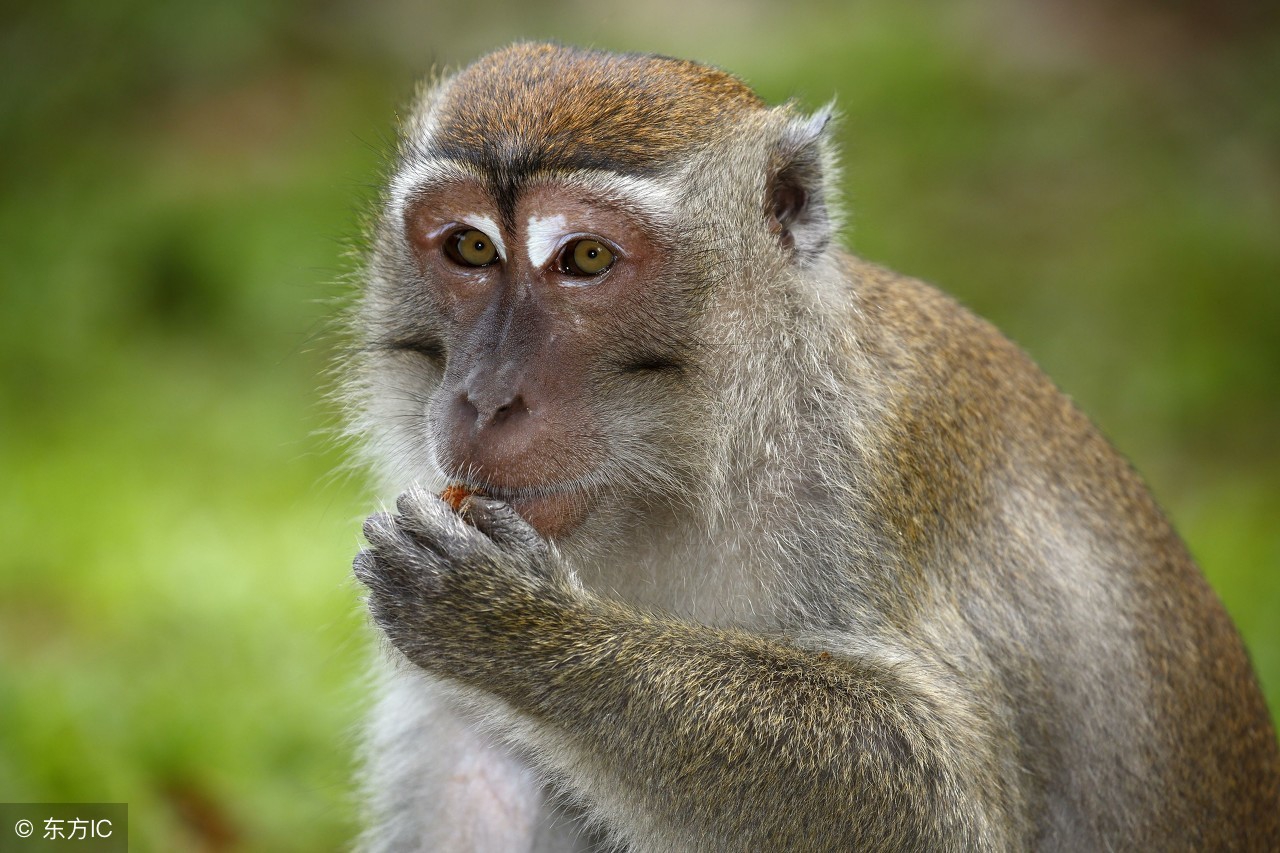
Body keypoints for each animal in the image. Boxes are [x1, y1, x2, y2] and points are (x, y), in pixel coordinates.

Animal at [343, 43, 1280, 845]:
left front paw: (519, 625)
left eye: (585, 258)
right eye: (470, 246)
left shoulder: (861, 492)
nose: (485, 395)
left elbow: (939, 802)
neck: (711, 462)